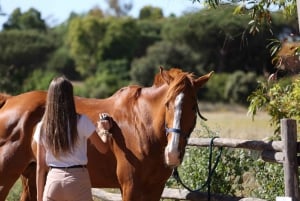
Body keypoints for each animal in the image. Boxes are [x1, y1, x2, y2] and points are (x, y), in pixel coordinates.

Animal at [0, 67, 212, 201]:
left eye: (193, 107)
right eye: (167, 104)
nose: (173, 153)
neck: (142, 125)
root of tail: (8, 101)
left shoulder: (155, 188)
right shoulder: (130, 187)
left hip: (32, 176)